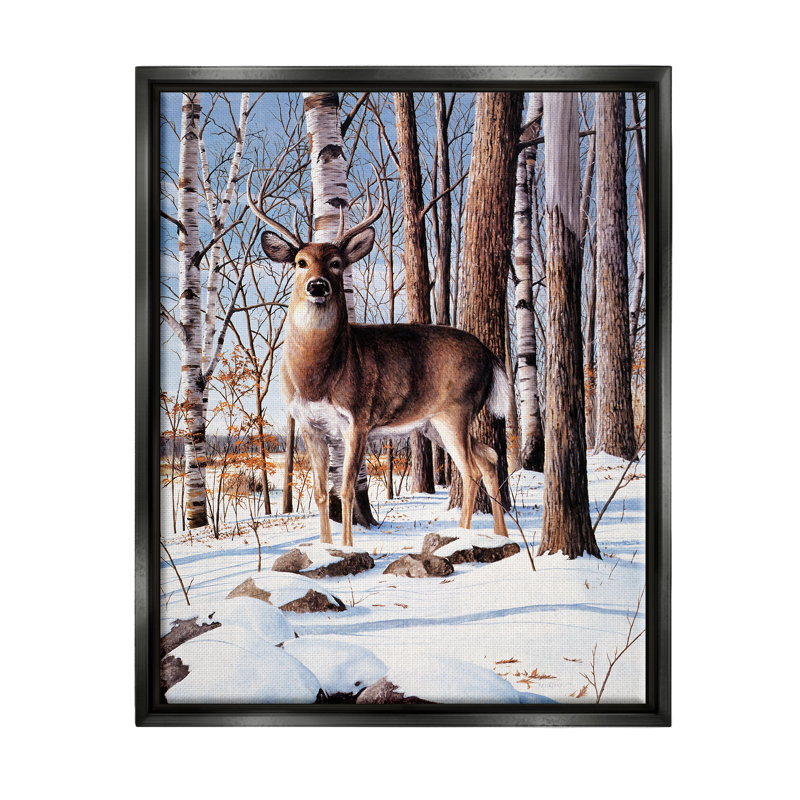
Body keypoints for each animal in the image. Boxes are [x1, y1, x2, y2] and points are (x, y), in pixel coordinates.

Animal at [246, 168, 510, 548]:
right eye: (300, 262)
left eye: (336, 263)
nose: (317, 285)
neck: (317, 377)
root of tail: (491, 354)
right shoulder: (309, 424)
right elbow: (321, 493)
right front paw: (325, 547)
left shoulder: (357, 418)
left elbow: (345, 489)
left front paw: (345, 547)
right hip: (431, 423)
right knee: (488, 457)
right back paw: (500, 536)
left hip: (456, 409)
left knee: (471, 469)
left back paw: (464, 535)